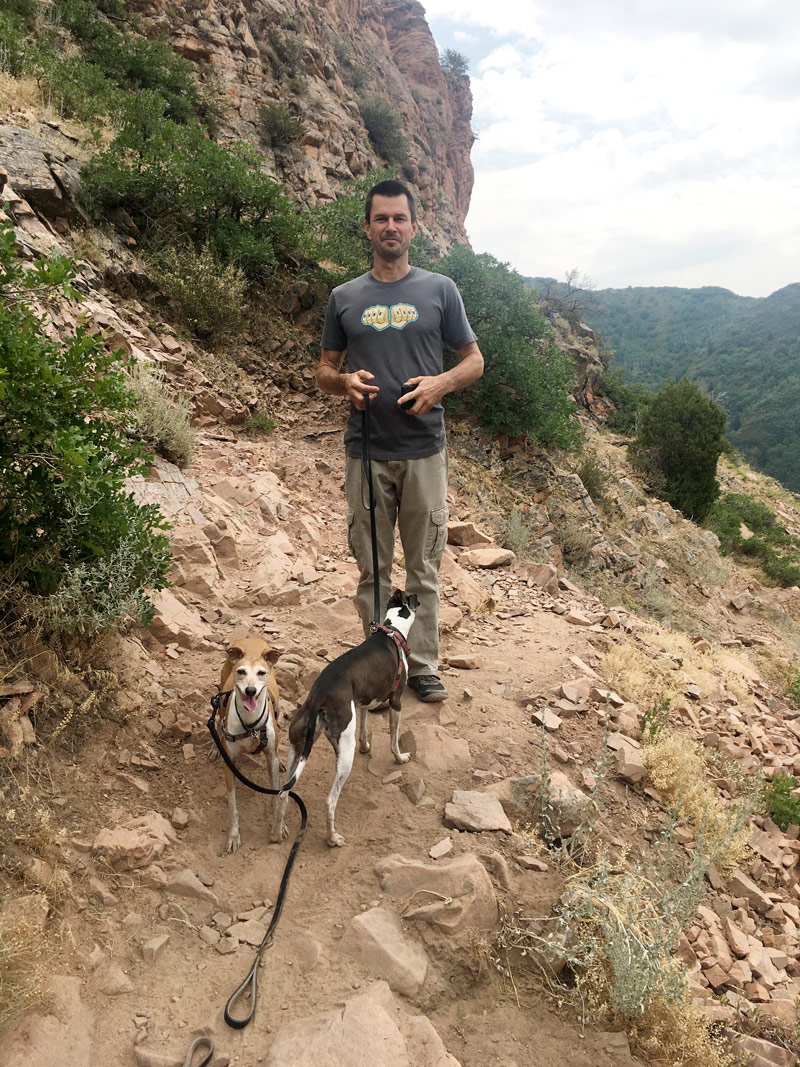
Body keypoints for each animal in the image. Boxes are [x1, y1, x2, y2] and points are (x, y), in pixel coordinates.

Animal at [217, 631, 283, 849]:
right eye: (241, 671)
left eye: (261, 673)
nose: (251, 691)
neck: (250, 725)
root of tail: (250, 638)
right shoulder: (230, 764)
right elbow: (232, 806)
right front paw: (233, 835)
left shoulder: (270, 757)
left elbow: (276, 796)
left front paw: (280, 828)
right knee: (218, 721)